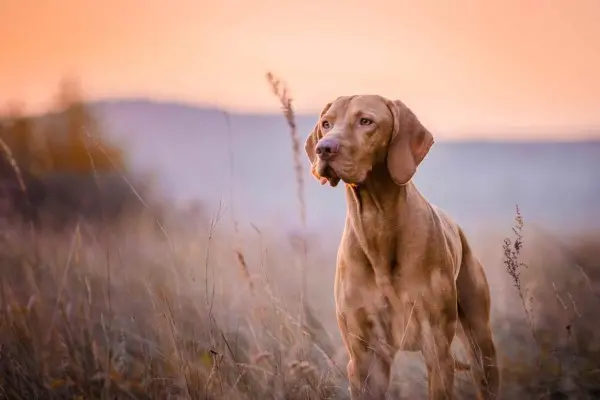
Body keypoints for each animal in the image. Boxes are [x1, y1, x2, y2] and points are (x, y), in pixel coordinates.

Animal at [302, 94, 500, 400]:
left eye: (366, 121)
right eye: (326, 123)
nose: (324, 148)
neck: (377, 225)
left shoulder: (436, 349)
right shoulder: (364, 358)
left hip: (482, 345)